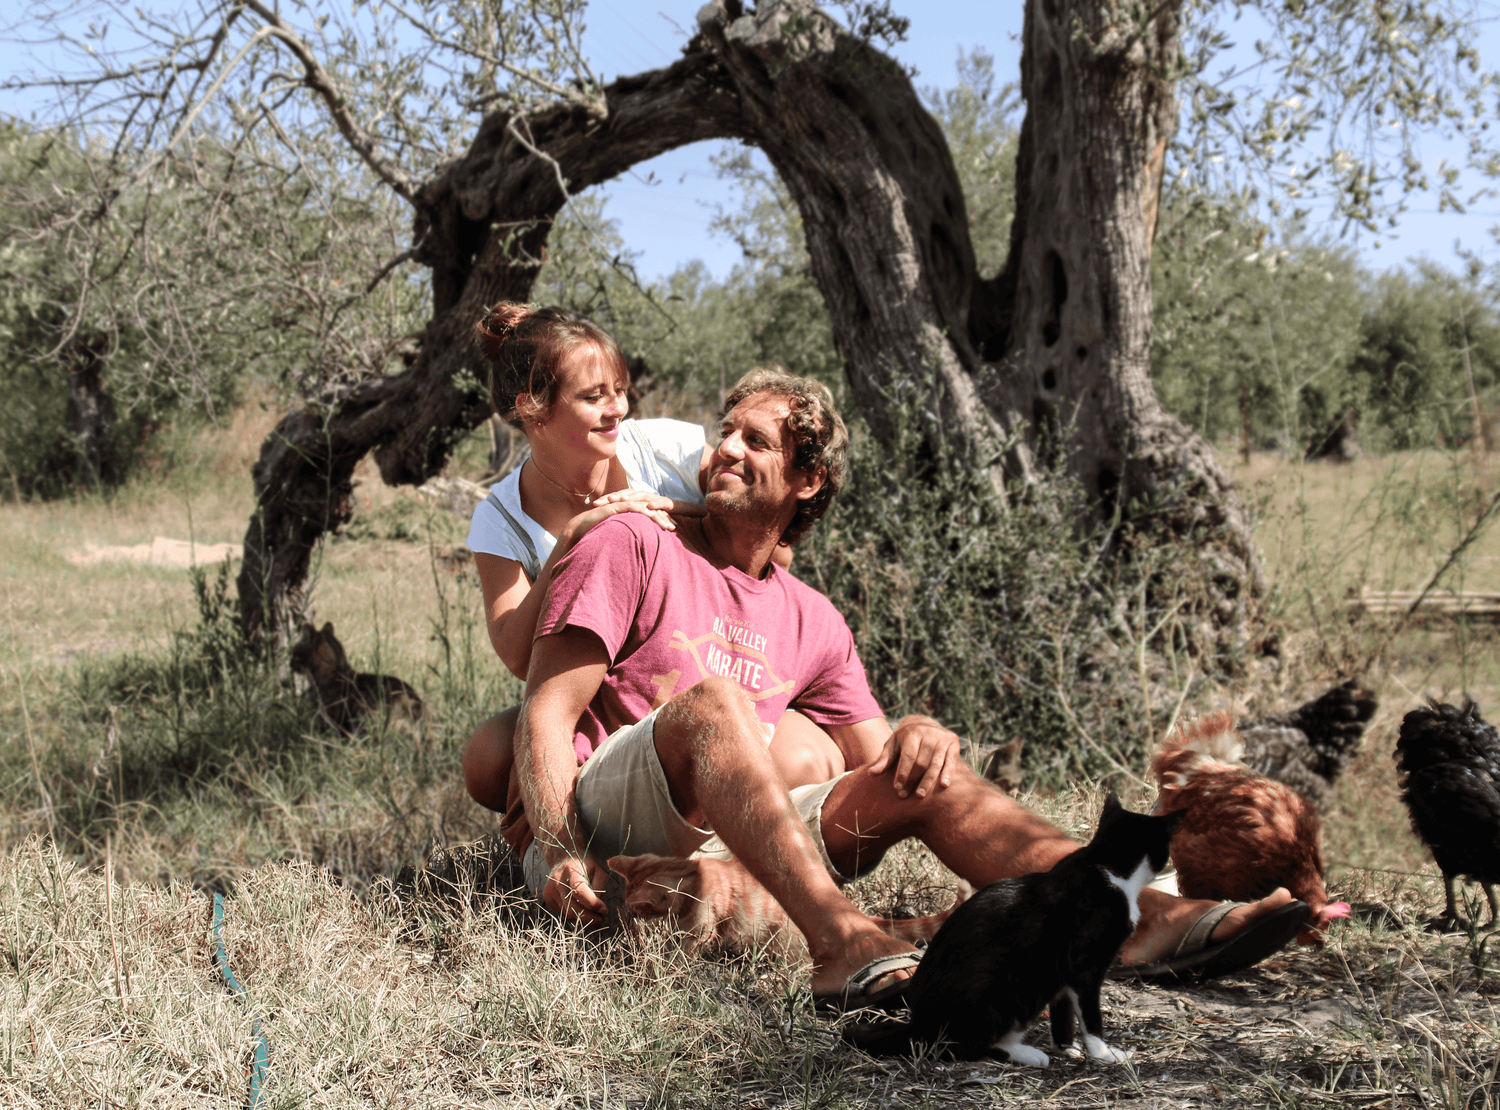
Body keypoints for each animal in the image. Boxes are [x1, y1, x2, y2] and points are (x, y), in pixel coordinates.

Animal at [846, 792, 1182, 1062]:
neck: (1106, 865)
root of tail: (917, 1025)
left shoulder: (1061, 976)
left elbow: (1063, 1012)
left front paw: (1065, 1047)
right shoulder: (1084, 967)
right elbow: (1090, 1017)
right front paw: (1104, 1053)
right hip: (1003, 991)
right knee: (960, 1046)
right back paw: (1026, 1053)